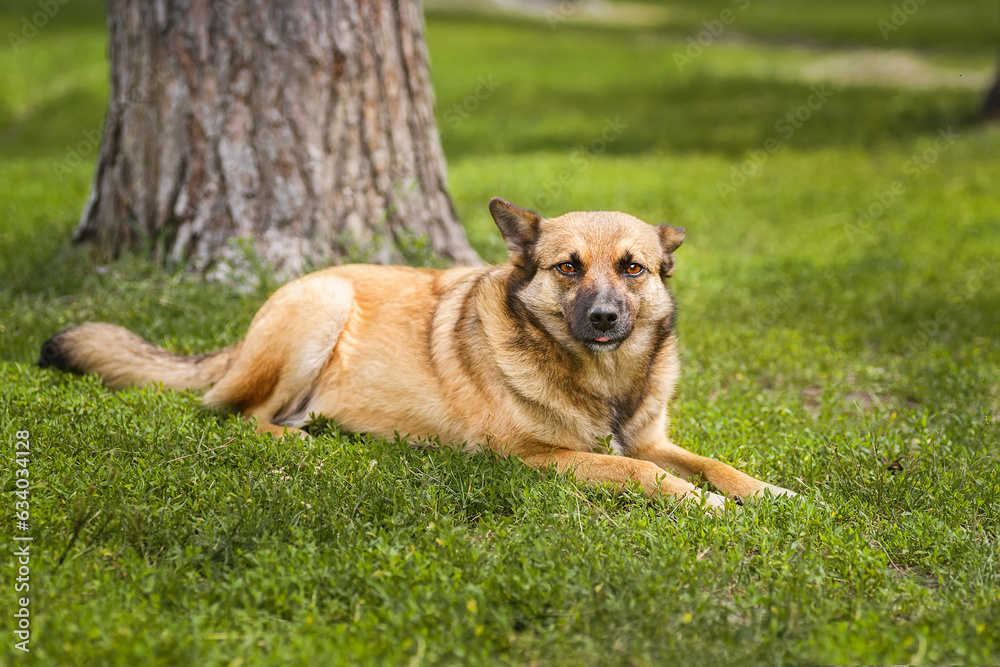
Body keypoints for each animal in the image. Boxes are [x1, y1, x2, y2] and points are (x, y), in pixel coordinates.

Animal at [39, 196, 796, 508]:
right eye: (568, 268)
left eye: (632, 268)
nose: (606, 318)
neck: (602, 377)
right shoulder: (536, 458)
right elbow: (644, 475)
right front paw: (703, 506)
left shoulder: (648, 438)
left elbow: (713, 463)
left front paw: (770, 492)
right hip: (322, 309)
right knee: (240, 416)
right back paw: (311, 443)